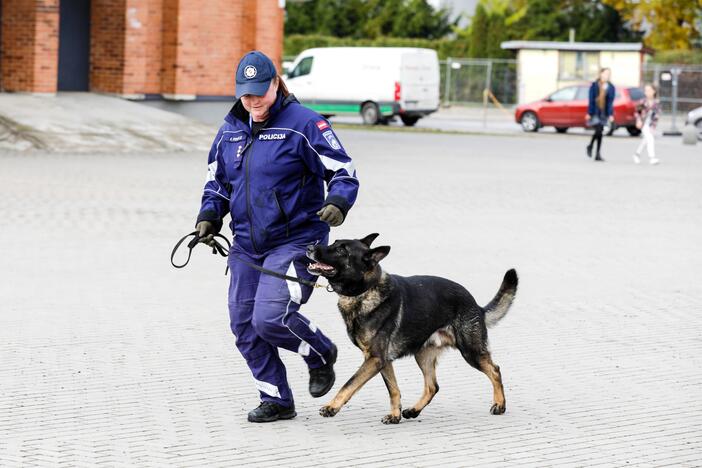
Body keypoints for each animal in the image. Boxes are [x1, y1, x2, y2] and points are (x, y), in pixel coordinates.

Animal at [306, 234, 516, 424]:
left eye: (342, 250)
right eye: (334, 243)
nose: (309, 247)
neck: (365, 290)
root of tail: (476, 305)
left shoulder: (375, 359)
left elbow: (349, 383)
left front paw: (331, 406)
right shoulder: (382, 361)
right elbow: (394, 389)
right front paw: (395, 415)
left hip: (471, 351)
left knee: (495, 370)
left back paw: (499, 404)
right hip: (423, 355)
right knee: (432, 386)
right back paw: (413, 411)